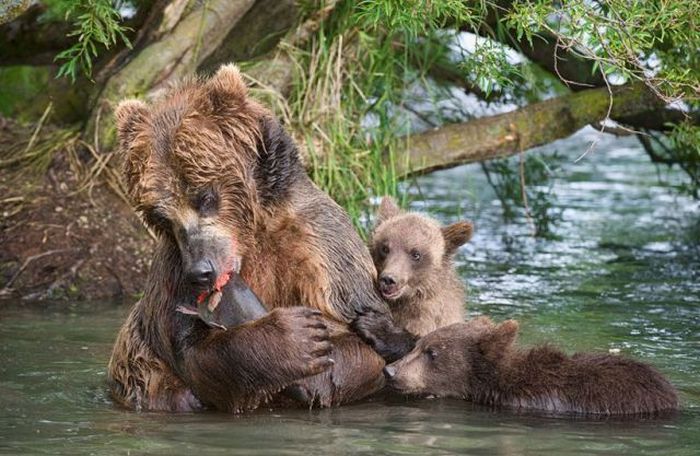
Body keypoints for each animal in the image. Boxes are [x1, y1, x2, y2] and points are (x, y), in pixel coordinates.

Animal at [106, 62, 408, 412]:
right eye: (161, 217)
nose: (201, 271)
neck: (255, 233)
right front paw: (295, 338)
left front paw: (320, 364)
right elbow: (193, 349)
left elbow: (361, 344)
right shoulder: (173, 271)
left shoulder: (322, 247)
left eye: (205, 196)